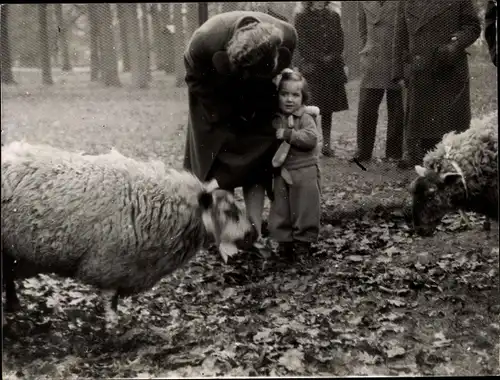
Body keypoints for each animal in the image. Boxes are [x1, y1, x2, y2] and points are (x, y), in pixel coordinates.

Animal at [0, 141, 258, 328]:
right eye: (229, 211)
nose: (254, 233)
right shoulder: (110, 265)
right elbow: (110, 302)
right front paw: (114, 329)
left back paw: (13, 306)